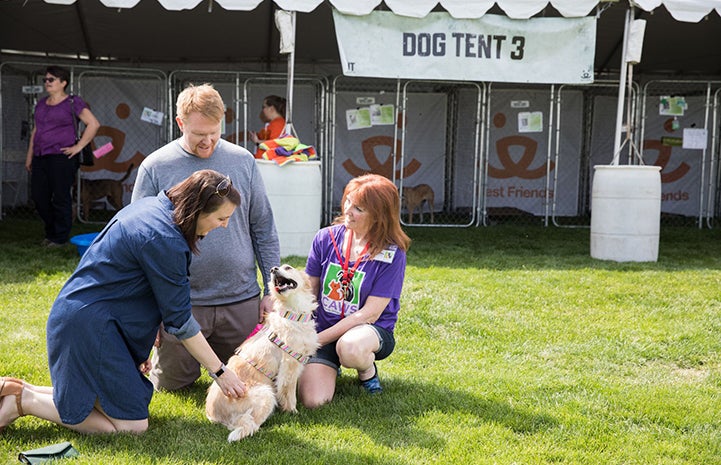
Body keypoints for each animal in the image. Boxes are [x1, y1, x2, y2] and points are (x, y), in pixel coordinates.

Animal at [202, 262, 316, 440]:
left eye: (288, 267)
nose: (273, 269)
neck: (292, 314)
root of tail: (213, 416)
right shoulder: (289, 367)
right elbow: (290, 395)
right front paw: (294, 412)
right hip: (266, 394)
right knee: (249, 424)